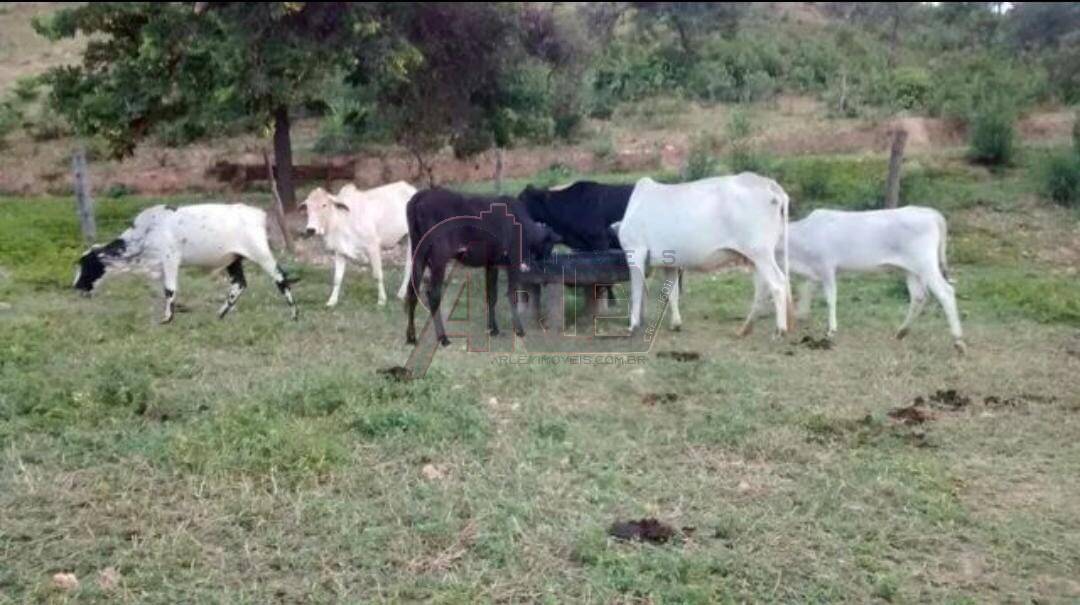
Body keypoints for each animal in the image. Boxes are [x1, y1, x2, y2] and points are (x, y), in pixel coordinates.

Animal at [73, 203, 298, 324]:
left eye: (86, 265)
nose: (75, 286)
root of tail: (257, 213)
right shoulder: (159, 268)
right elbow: (163, 291)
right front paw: (175, 311)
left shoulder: (171, 259)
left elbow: (169, 290)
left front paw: (167, 319)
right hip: (233, 260)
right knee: (239, 284)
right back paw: (220, 314)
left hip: (261, 254)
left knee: (281, 278)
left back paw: (294, 314)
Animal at [401, 189, 561, 345]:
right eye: (550, 246)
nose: (545, 262)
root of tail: (419, 196)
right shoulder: (512, 262)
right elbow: (511, 294)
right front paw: (519, 330)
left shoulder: (492, 263)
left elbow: (492, 295)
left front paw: (493, 329)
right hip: (438, 257)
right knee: (433, 295)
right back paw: (443, 338)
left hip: (418, 255)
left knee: (412, 292)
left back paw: (411, 337)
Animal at [617, 173, 794, 334]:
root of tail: (767, 183)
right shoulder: (669, 262)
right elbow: (671, 292)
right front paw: (676, 324)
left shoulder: (635, 251)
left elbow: (636, 290)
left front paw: (633, 325)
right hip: (754, 257)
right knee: (762, 287)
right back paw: (745, 328)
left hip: (760, 252)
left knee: (778, 283)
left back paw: (780, 330)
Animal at [738, 205, 967, 352]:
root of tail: (930, 212)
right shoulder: (813, 273)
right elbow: (806, 292)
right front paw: (801, 316)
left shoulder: (827, 267)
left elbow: (830, 298)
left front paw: (831, 329)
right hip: (911, 270)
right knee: (919, 296)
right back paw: (901, 332)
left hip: (926, 265)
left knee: (945, 292)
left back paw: (958, 340)